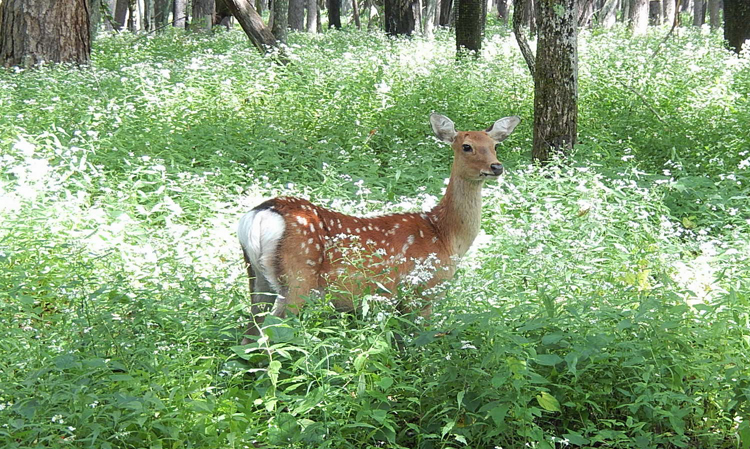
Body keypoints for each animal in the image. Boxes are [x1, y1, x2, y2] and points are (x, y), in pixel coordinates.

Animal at [238, 114, 520, 342]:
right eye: (466, 146)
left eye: (494, 145)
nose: (497, 167)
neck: (445, 235)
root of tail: (261, 214)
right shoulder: (422, 289)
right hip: (298, 279)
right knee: (269, 335)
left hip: (257, 279)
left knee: (250, 332)